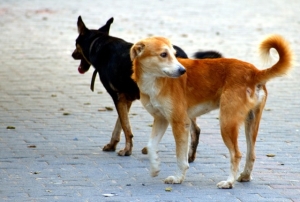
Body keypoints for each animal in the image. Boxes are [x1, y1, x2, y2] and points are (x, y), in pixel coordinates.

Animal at [71, 16, 221, 159]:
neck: (98, 43)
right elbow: (119, 124)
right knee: (195, 129)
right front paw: (113, 144)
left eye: (76, 44)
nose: (72, 55)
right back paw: (190, 156)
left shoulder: (118, 97)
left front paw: (127, 150)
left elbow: (125, 126)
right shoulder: (126, 100)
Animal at [129, 34, 292, 188]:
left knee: (236, 154)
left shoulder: (180, 123)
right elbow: (151, 146)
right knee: (251, 154)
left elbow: (181, 158)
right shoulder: (161, 119)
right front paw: (155, 167)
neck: (155, 81)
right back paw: (245, 176)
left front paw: (178, 178)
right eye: (163, 54)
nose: (182, 71)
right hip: (251, 123)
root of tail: (254, 72)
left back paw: (229, 182)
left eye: (174, 54)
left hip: (227, 123)